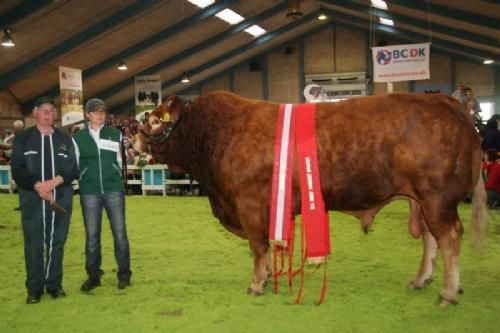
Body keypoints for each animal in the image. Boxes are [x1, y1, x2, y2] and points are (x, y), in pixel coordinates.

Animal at [136, 90, 484, 304]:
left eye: (152, 119)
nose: (132, 136)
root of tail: (449, 102)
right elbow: (271, 246)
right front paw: (271, 276)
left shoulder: (249, 205)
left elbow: (258, 247)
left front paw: (256, 284)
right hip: (423, 200)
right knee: (430, 237)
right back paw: (421, 280)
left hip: (437, 198)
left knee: (449, 237)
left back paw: (448, 292)